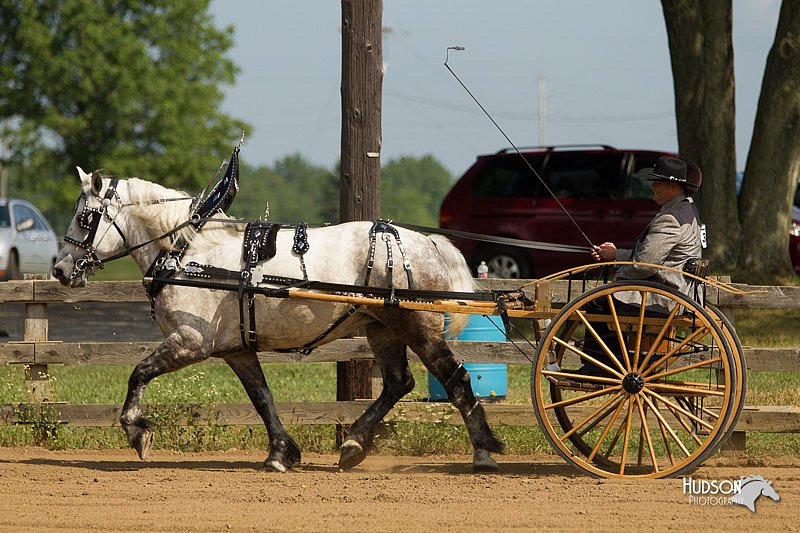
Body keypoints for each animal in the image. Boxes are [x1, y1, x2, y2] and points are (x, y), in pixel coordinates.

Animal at [53, 169, 504, 470]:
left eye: (85, 217)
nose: (60, 269)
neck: (188, 251)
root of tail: (424, 242)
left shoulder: (189, 342)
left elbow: (138, 373)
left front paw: (137, 431)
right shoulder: (236, 350)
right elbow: (262, 398)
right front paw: (281, 452)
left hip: (418, 328)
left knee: (455, 379)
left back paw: (483, 450)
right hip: (381, 329)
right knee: (397, 382)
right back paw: (354, 444)